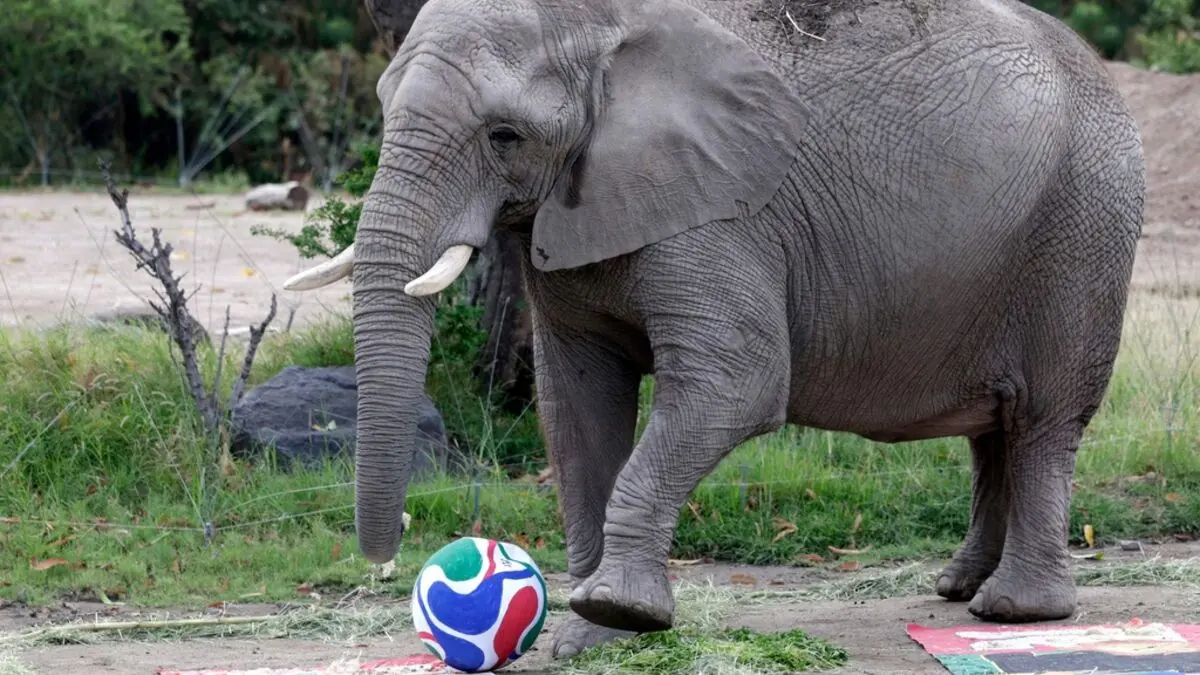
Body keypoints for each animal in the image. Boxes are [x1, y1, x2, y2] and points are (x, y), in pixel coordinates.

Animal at [284, 0, 1146, 659]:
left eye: (505, 136)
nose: (392, 555)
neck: (597, 27)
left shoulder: (723, 214)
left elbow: (738, 384)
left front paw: (617, 612)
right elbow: (577, 406)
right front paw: (589, 638)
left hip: (1081, 228)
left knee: (1040, 421)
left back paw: (1014, 612)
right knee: (993, 428)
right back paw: (959, 587)